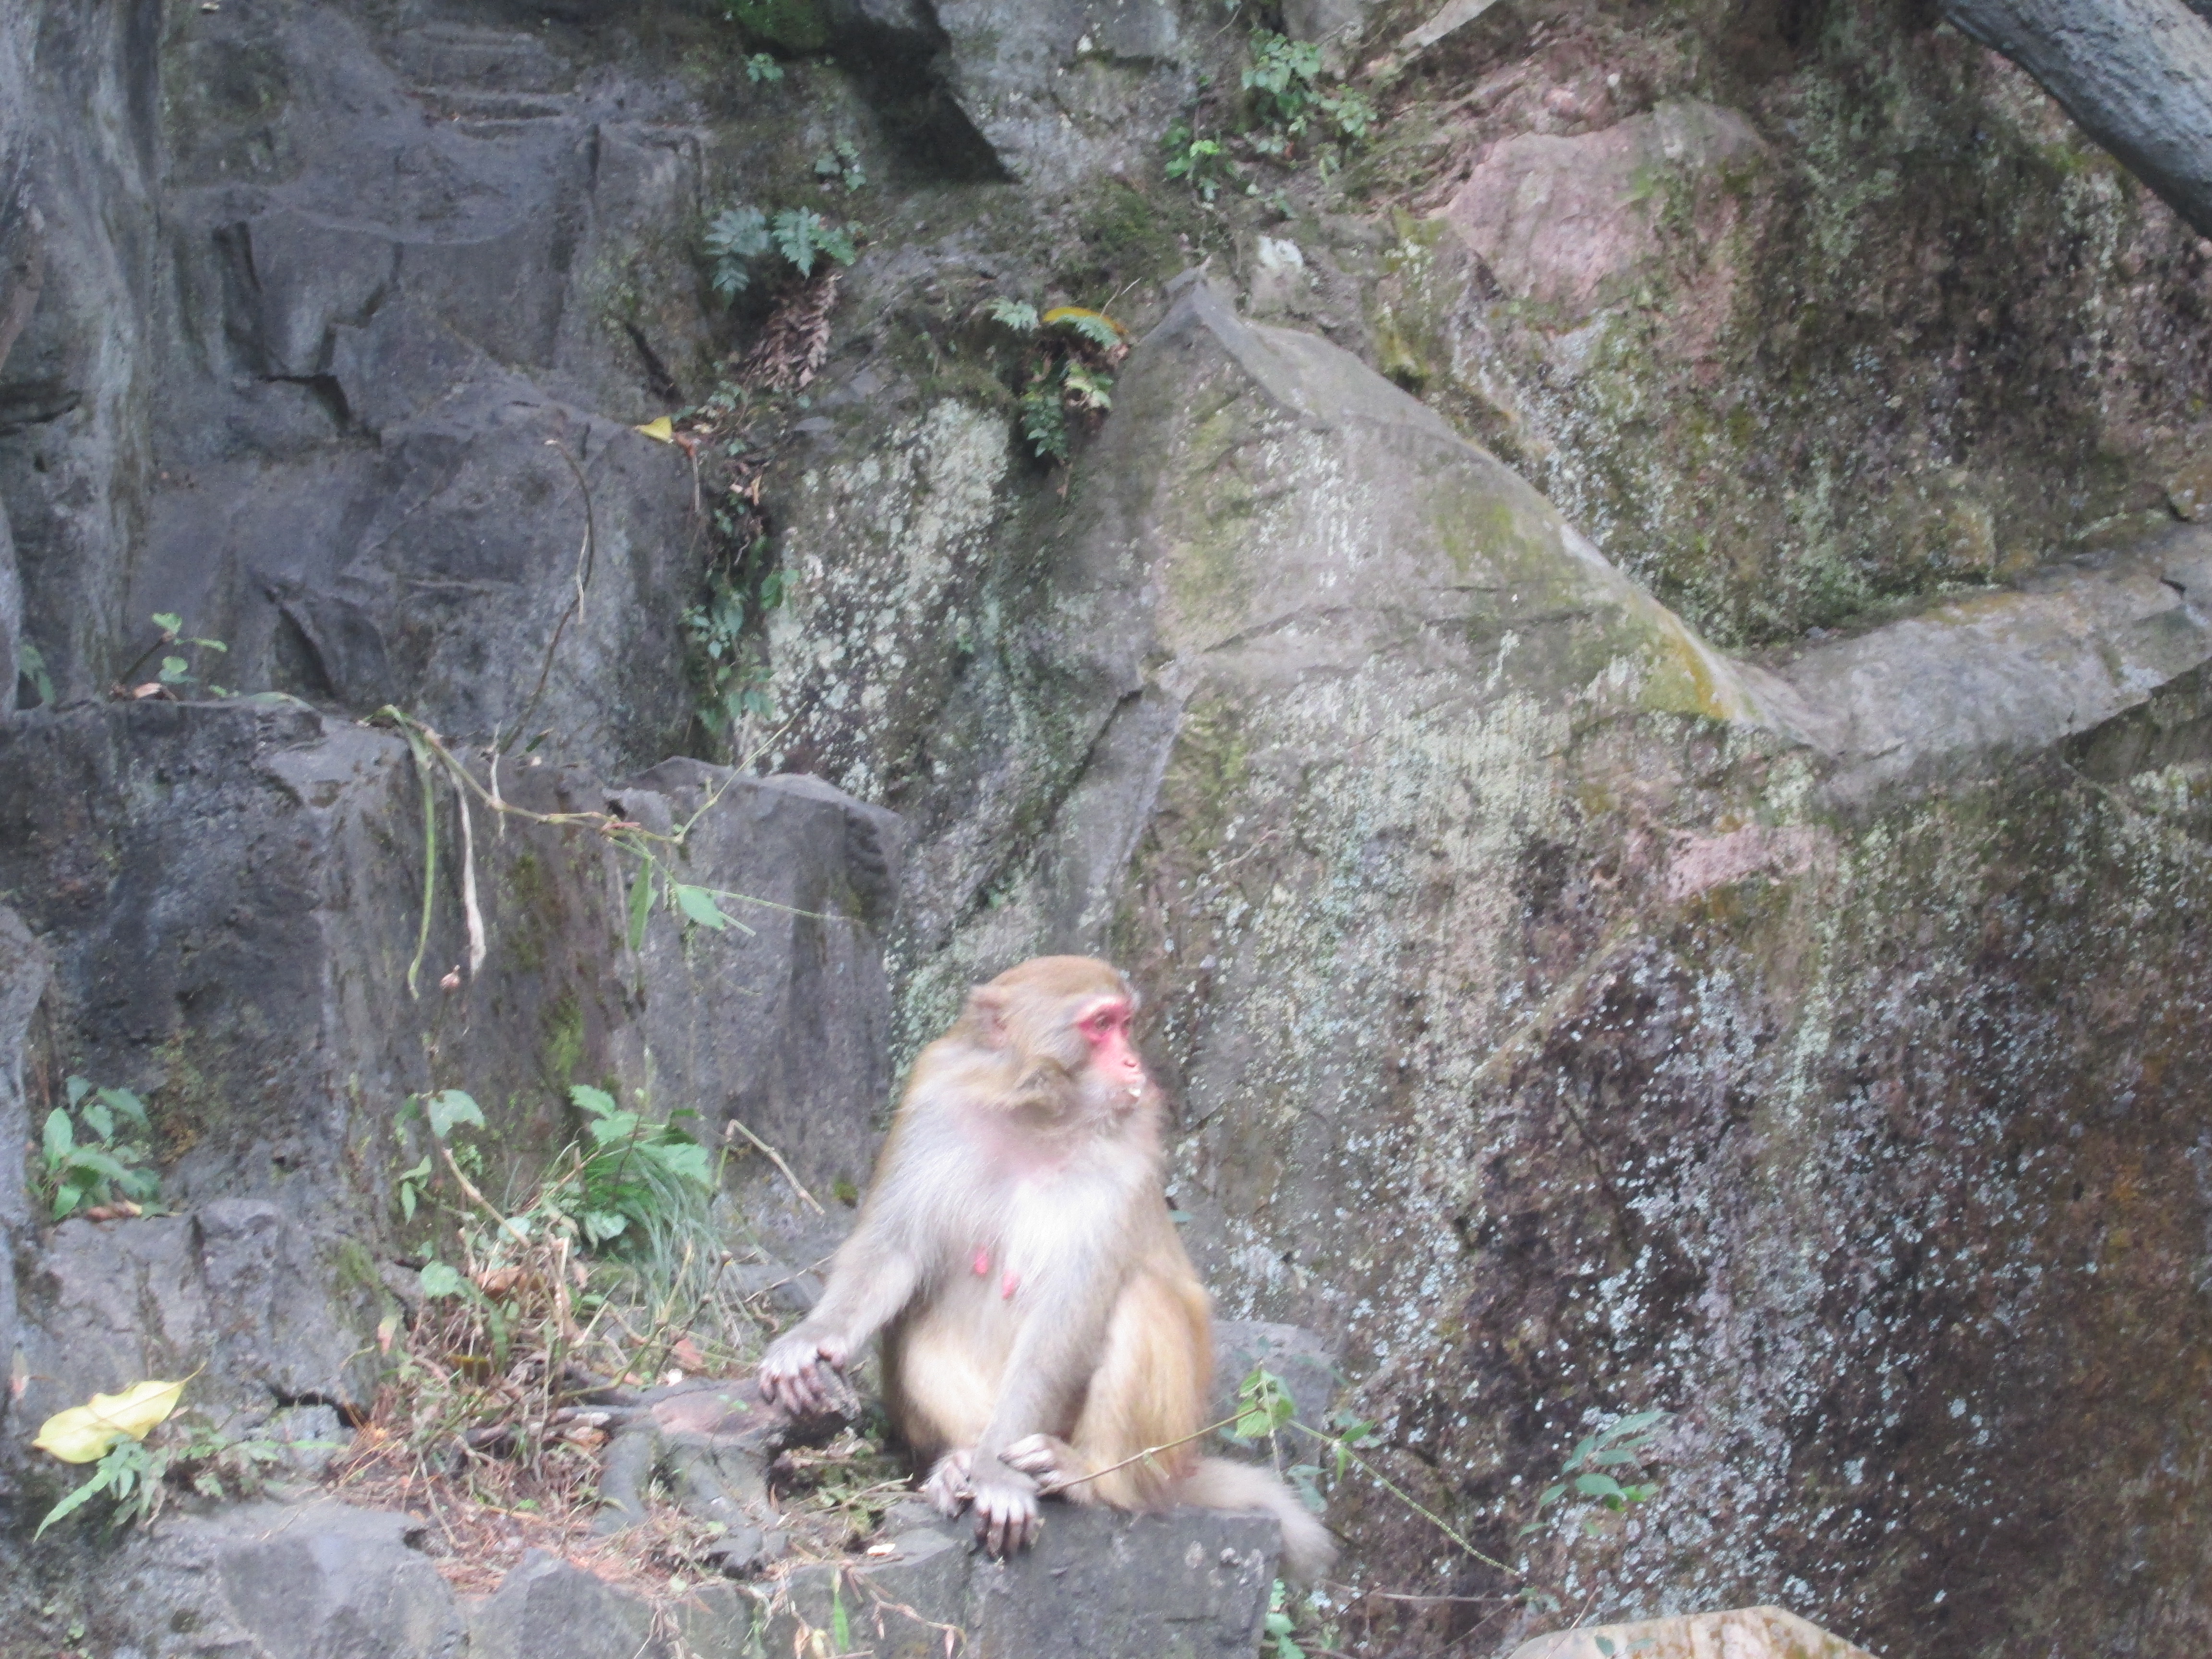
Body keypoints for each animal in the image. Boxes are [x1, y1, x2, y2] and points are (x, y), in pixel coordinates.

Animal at [758, 955, 1334, 1578]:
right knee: (917, 1318)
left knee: (1141, 1301)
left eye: (1125, 1024)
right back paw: (960, 1460)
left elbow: (1067, 1317)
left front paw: (998, 1475)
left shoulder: (1126, 1159)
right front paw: (813, 1338)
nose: (1134, 1062)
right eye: (1101, 1025)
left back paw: (1086, 1476)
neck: (1036, 1116)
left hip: (1161, 1447)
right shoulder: (933, 1104)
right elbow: (893, 1251)